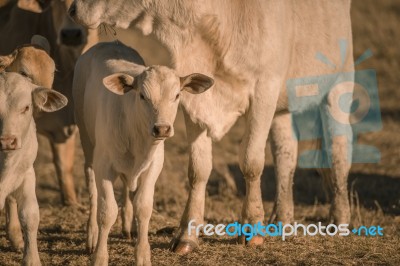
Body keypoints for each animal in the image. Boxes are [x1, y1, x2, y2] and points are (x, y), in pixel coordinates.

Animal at [69, 0, 354, 254]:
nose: (72, 9)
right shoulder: (197, 104)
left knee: (338, 149)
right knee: (285, 154)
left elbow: (251, 162)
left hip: (338, 83)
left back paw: (339, 218)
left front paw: (252, 227)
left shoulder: (265, 90)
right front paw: (187, 234)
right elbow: (199, 169)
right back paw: (282, 219)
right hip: (282, 108)